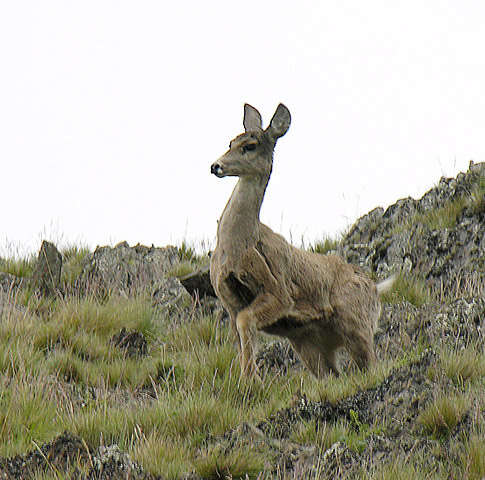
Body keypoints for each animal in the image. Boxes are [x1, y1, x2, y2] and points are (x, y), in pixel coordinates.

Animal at [208, 104, 394, 378]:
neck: (238, 245)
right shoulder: (228, 300)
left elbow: (246, 322)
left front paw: (251, 380)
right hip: (308, 344)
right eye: (231, 142)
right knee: (332, 374)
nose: (215, 166)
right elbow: (239, 340)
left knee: (370, 364)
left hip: (357, 323)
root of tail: (375, 288)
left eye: (250, 145)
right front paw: (245, 378)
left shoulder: (278, 292)